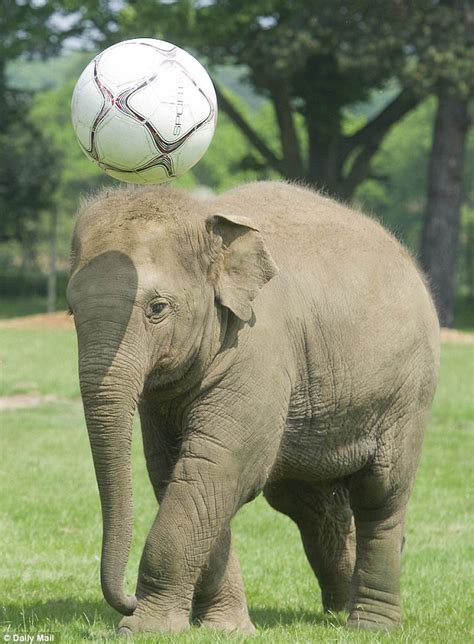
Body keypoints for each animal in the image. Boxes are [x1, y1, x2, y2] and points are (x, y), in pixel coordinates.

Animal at [67, 180, 440, 632]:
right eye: (70, 310)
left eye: (157, 308)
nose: (127, 600)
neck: (206, 216)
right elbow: (176, 470)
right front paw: (223, 627)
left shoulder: (260, 348)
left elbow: (220, 464)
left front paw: (145, 628)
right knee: (310, 504)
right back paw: (336, 607)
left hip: (407, 393)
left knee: (380, 494)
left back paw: (369, 625)